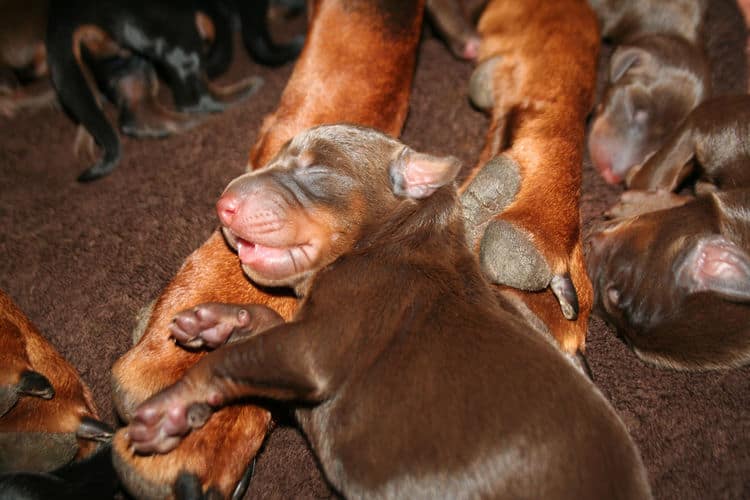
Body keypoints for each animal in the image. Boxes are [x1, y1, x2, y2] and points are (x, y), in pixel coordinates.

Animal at [125, 125, 652, 500]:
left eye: (315, 171)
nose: (223, 205)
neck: (400, 238)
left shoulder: (320, 347)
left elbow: (234, 359)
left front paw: (169, 409)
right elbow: (263, 323)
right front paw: (214, 321)